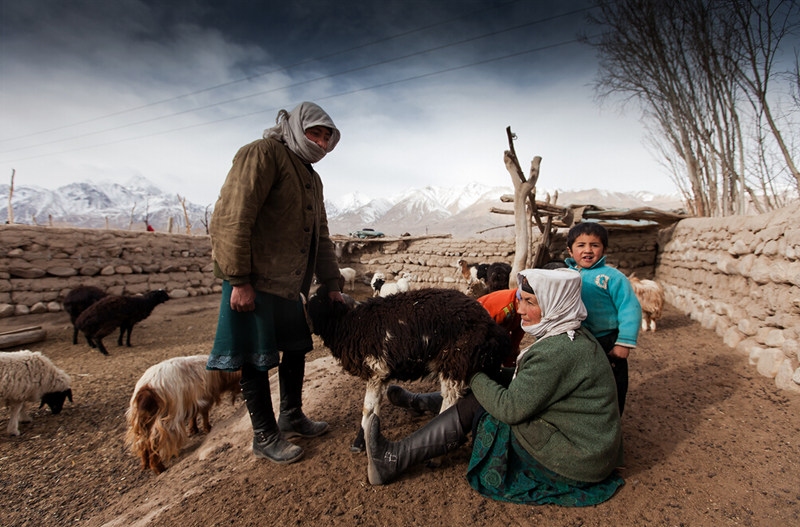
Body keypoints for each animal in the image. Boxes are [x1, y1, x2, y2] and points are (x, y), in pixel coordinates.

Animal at [304, 284, 506, 454]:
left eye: (318, 302)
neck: (349, 324)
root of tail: (490, 324)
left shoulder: (375, 370)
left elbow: (367, 409)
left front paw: (359, 442)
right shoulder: (381, 375)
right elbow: (374, 408)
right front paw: (367, 437)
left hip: (456, 362)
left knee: (450, 402)